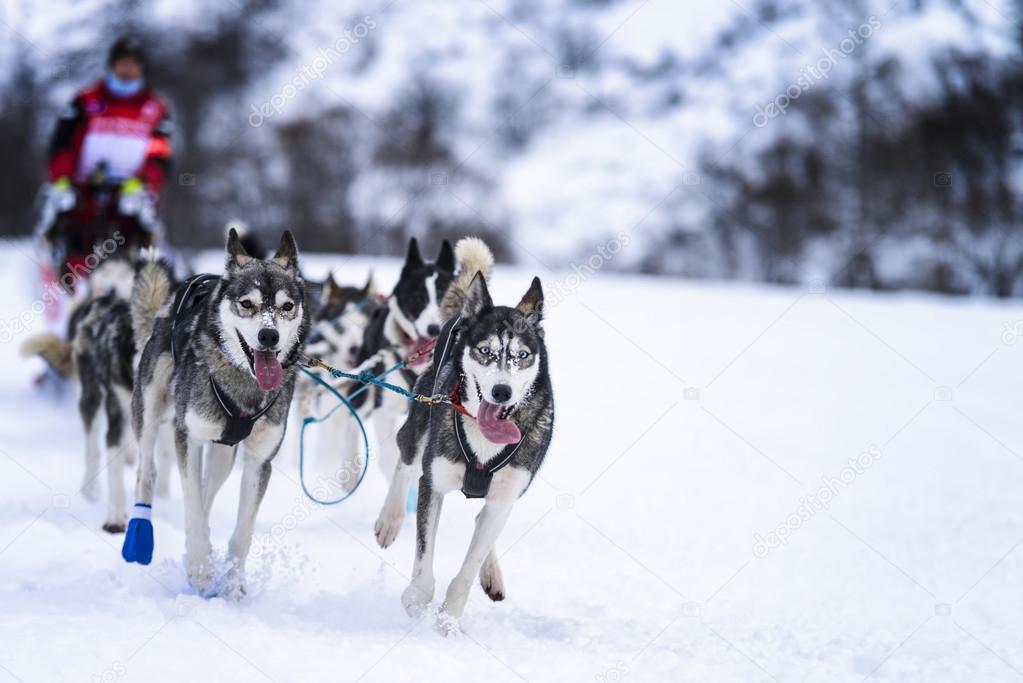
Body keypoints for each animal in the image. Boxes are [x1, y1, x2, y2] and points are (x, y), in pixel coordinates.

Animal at [20, 257, 173, 531]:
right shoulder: (117, 420)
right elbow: (115, 473)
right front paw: (116, 519)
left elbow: (162, 458)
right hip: (91, 397)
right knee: (92, 447)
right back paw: (90, 489)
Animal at [124, 228, 306, 593]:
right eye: (247, 304)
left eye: (286, 306)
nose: (269, 335)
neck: (244, 383)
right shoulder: (188, 437)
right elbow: (193, 507)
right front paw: (199, 569)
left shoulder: (259, 459)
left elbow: (241, 530)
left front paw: (233, 581)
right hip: (149, 411)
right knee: (147, 472)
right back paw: (141, 536)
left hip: (225, 454)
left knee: (209, 485)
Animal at [337, 237, 454, 488]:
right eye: (419, 297)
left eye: (446, 298)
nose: (434, 329)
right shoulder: (384, 409)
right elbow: (391, 456)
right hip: (365, 388)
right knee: (352, 418)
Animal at [374, 237, 552, 625]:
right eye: (485, 350)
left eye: (522, 356)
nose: (502, 391)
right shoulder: (434, 483)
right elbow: (424, 555)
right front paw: (417, 600)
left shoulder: (504, 498)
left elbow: (469, 566)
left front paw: (449, 619)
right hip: (418, 425)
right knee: (404, 457)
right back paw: (390, 519)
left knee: (482, 520)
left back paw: (492, 573)